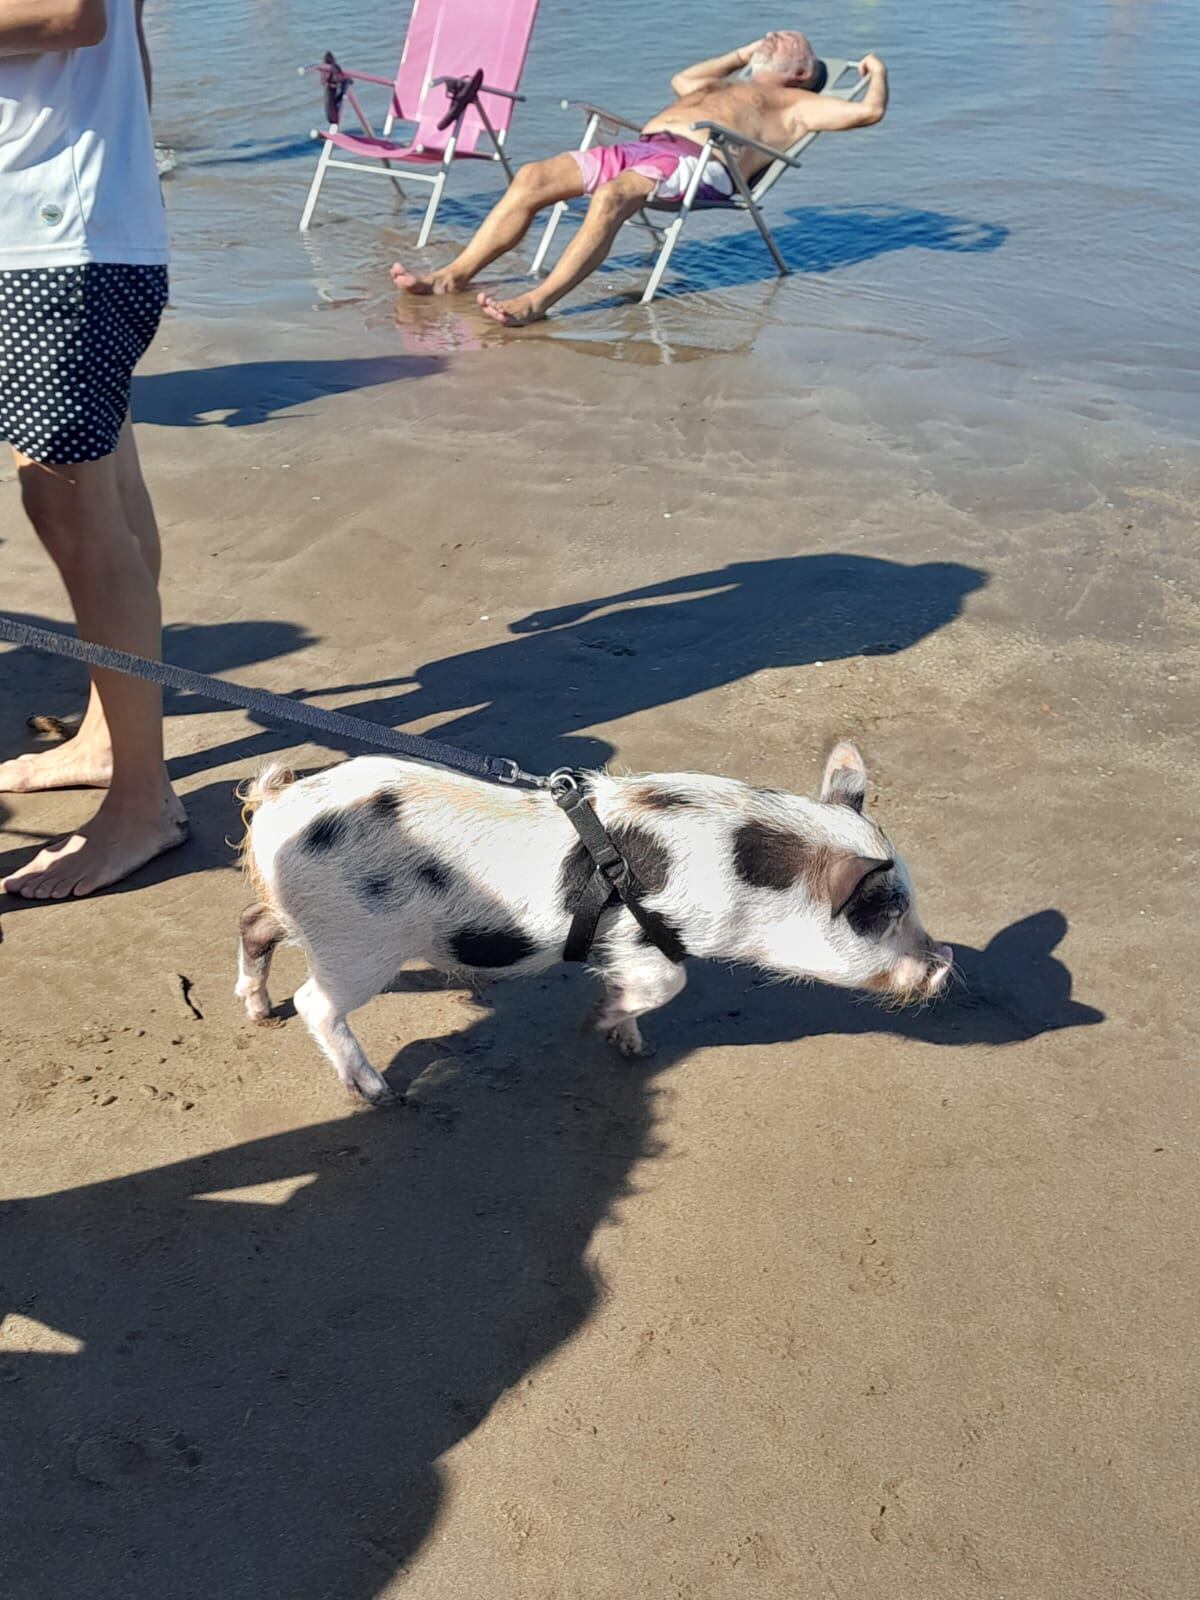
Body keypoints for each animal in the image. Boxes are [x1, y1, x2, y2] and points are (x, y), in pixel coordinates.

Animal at [232, 742, 947, 1107]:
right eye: (885, 914)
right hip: (359, 943)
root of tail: (275, 802)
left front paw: (633, 1048)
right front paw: (599, 1024)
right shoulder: (649, 937)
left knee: (252, 923)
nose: (943, 963)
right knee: (316, 1002)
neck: (736, 874)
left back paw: (258, 1012)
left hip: (305, 917)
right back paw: (378, 1092)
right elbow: (668, 986)